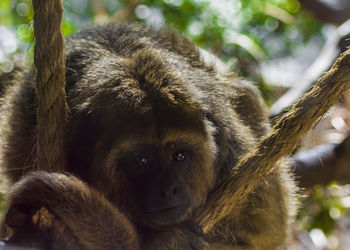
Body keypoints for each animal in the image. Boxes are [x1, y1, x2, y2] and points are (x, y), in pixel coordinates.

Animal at [0, 22, 296, 249]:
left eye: (180, 156)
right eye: (142, 161)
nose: (168, 190)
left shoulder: (231, 145)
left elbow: (267, 231)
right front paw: (168, 240)